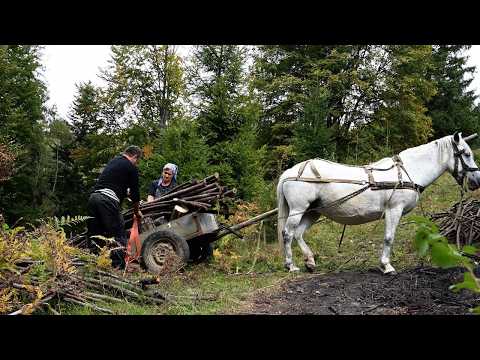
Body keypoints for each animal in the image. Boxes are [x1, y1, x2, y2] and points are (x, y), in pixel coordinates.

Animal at [278, 132, 480, 272]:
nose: (477, 181)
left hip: (313, 211)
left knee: (298, 234)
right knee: (288, 234)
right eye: (466, 154)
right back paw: (291, 265)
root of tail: (289, 173)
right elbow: (389, 238)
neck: (407, 171)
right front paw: (386, 266)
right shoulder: (394, 210)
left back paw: (310, 262)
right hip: (298, 209)